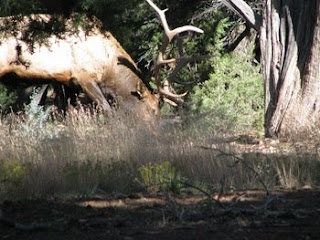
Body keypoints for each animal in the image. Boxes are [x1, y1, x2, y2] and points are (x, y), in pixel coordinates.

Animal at [0, 0, 204, 121]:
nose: (156, 134)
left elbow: (69, 113)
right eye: (153, 110)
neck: (107, 64)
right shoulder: (83, 77)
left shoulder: (65, 82)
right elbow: (107, 110)